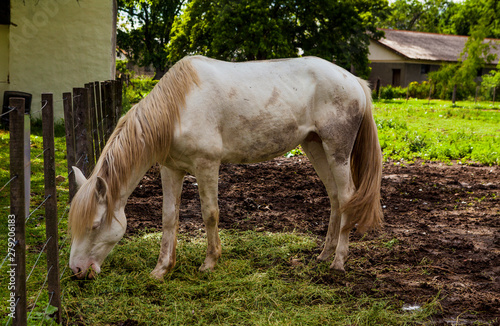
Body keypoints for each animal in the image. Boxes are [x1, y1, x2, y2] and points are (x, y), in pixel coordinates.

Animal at [68, 54, 382, 278]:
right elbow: (169, 217)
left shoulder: (207, 165)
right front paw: (162, 269)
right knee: (335, 198)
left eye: (95, 225)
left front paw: (209, 263)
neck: (178, 108)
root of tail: (353, 80)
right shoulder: (171, 169)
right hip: (315, 147)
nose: (76, 271)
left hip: (337, 150)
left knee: (347, 197)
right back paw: (324, 255)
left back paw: (338, 261)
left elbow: (210, 213)